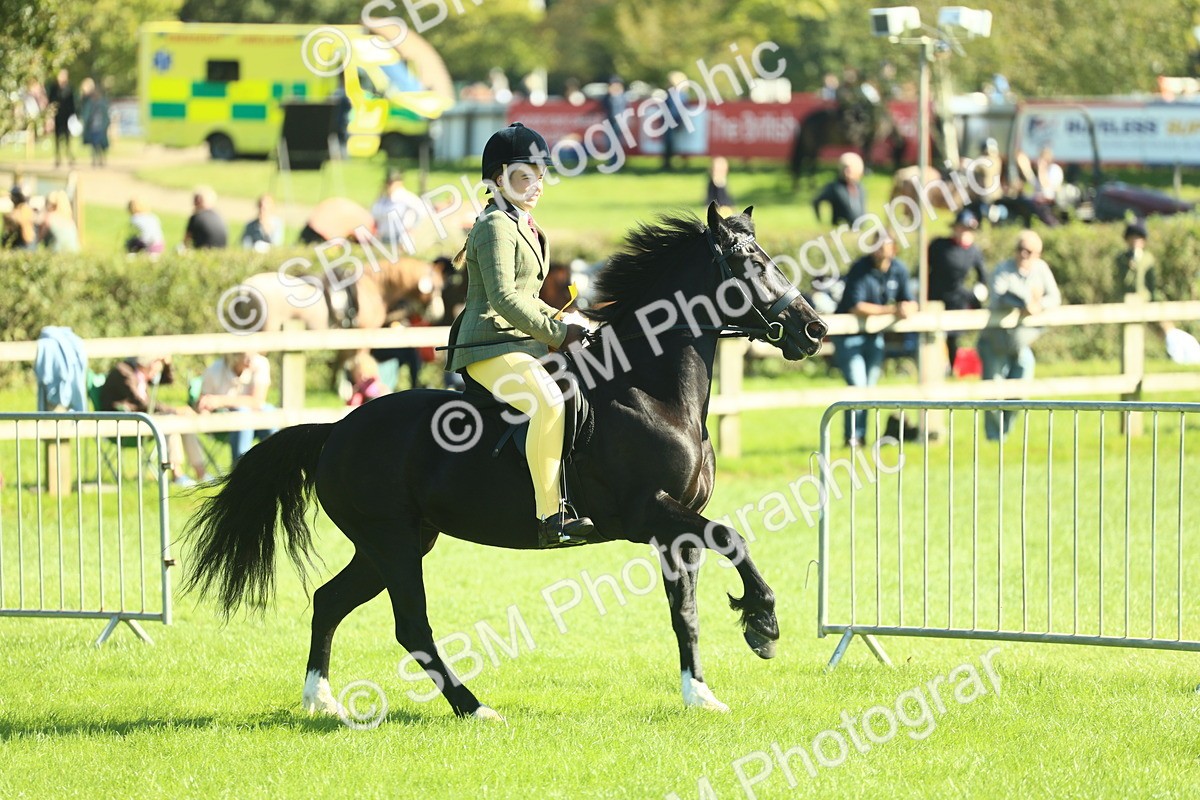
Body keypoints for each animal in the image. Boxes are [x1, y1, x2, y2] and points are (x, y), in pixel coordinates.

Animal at [182, 202, 828, 721]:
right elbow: (733, 537)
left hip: (393, 543)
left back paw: (321, 700)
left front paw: (701, 694)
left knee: (329, 602)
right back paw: (473, 708)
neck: (651, 391)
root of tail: (336, 429)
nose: (815, 329)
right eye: (749, 264)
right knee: (410, 625)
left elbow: (686, 612)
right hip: (393, 544)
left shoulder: (676, 531)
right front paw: (764, 625)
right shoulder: (649, 513)